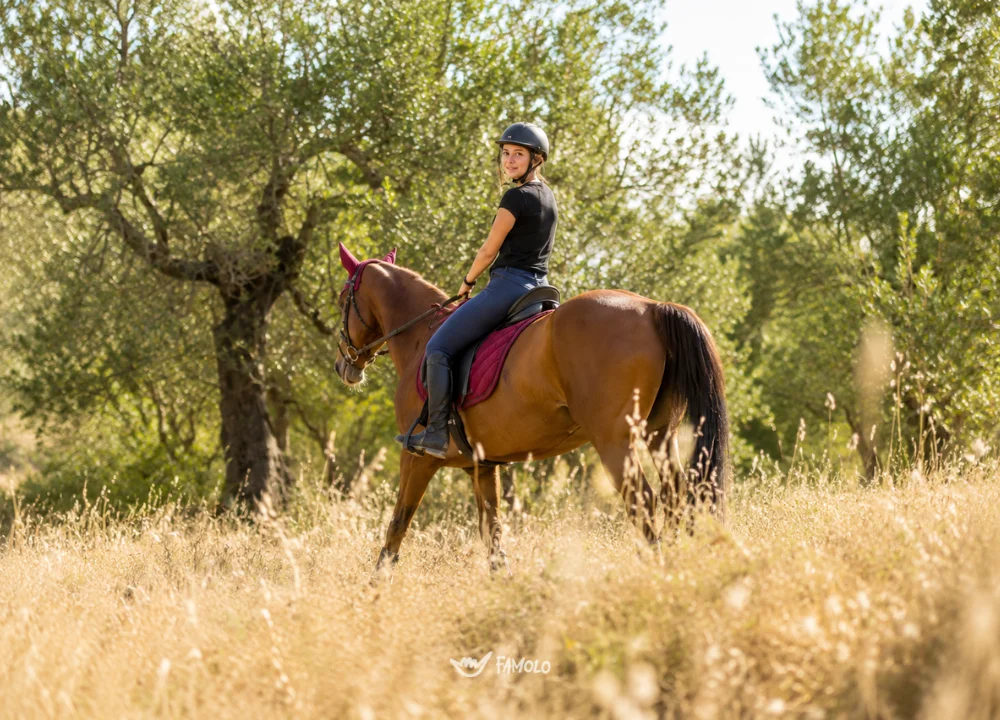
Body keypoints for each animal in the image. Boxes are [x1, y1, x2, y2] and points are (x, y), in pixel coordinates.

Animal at [333, 244, 730, 577]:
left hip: (615, 443)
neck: (419, 338)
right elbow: (491, 533)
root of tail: (651, 308)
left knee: (644, 501)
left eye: (340, 300)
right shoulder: (481, 466)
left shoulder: (416, 458)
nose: (343, 366)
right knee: (677, 495)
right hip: (660, 435)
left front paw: (376, 585)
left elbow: (398, 523)